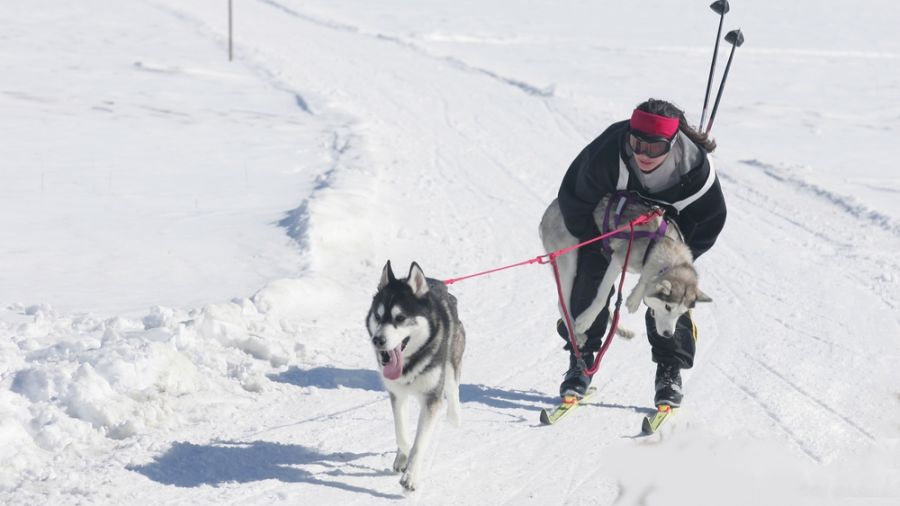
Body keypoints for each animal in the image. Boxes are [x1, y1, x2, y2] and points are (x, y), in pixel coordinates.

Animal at [364, 260, 464, 490]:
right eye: (378, 317)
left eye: (400, 318)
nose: (377, 340)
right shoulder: (397, 394)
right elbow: (402, 434)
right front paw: (403, 457)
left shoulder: (431, 399)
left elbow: (419, 444)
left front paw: (410, 476)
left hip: (452, 357)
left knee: (453, 384)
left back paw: (455, 416)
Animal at [540, 194, 712, 344]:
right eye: (668, 307)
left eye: (681, 313)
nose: (668, 335)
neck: (661, 242)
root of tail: (551, 207)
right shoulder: (617, 261)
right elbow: (602, 298)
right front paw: (585, 322)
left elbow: (644, 281)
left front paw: (635, 298)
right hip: (570, 262)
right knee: (562, 303)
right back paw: (576, 334)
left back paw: (620, 329)